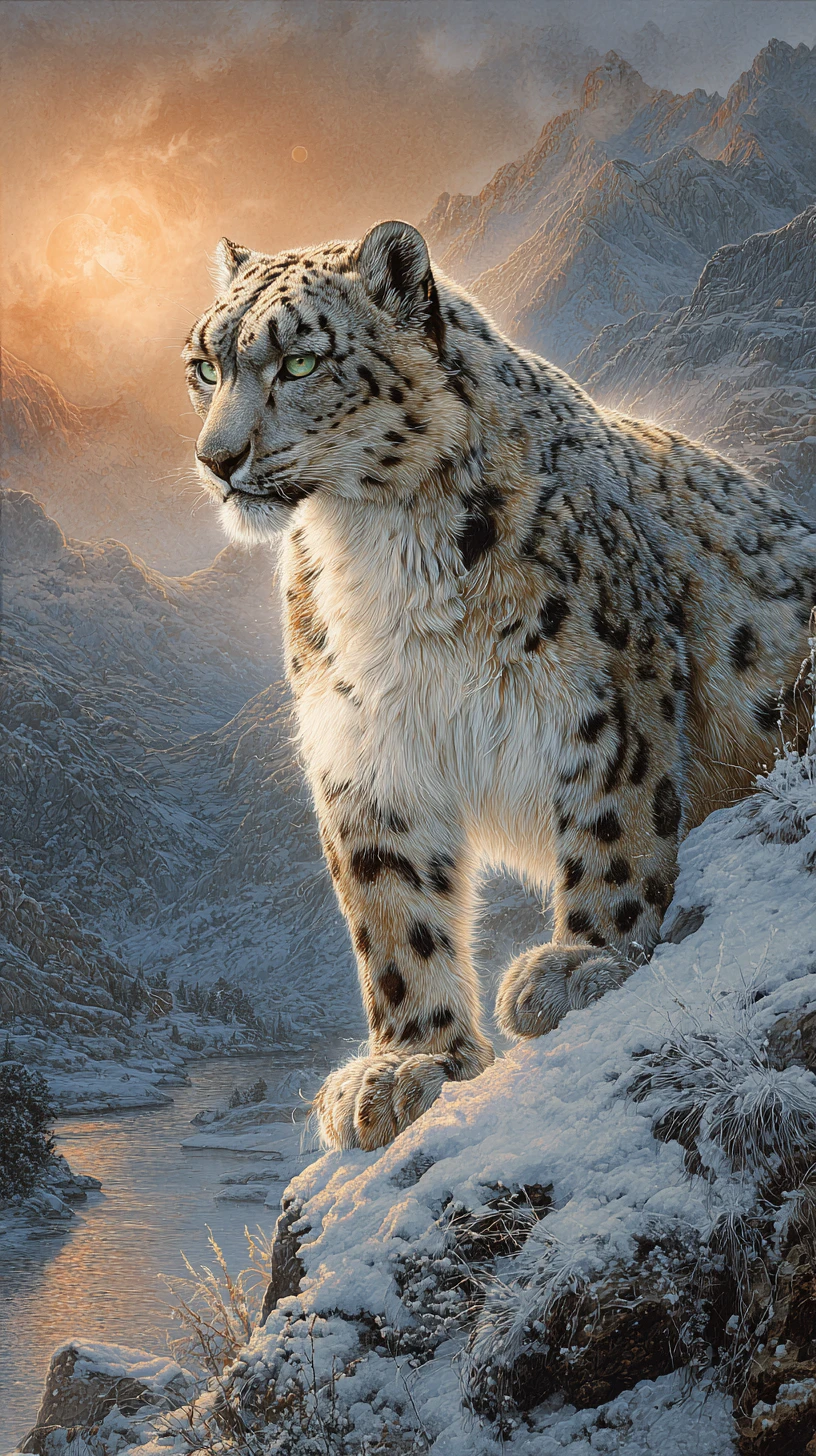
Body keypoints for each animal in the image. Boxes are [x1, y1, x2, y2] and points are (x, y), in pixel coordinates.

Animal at [184, 220, 816, 1152]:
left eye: (299, 363)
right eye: (205, 365)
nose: (218, 459)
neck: (376, 542)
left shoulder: (607, 686)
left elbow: (616, 821)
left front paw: (584, 961)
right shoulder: (364, 746)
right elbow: (393, 911)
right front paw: (407, 1065)